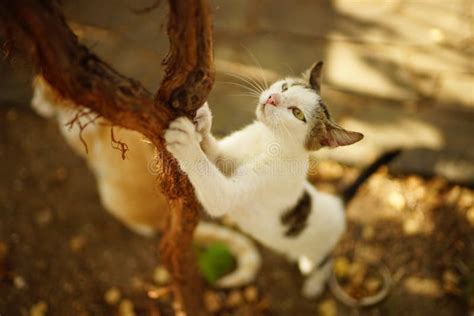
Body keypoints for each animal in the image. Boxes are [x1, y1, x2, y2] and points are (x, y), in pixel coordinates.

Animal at [165, 62, 364, 298]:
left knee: (325, 262)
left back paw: (314, 282)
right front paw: (203, 122)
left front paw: (186, 141)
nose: (272, 98)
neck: (267, 139)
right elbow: (216, 155)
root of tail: (337, 203)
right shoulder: (229, 157)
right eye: (285, 87)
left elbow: (214, 186)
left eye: (297, 113)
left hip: (322, 249)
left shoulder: (246, 187)